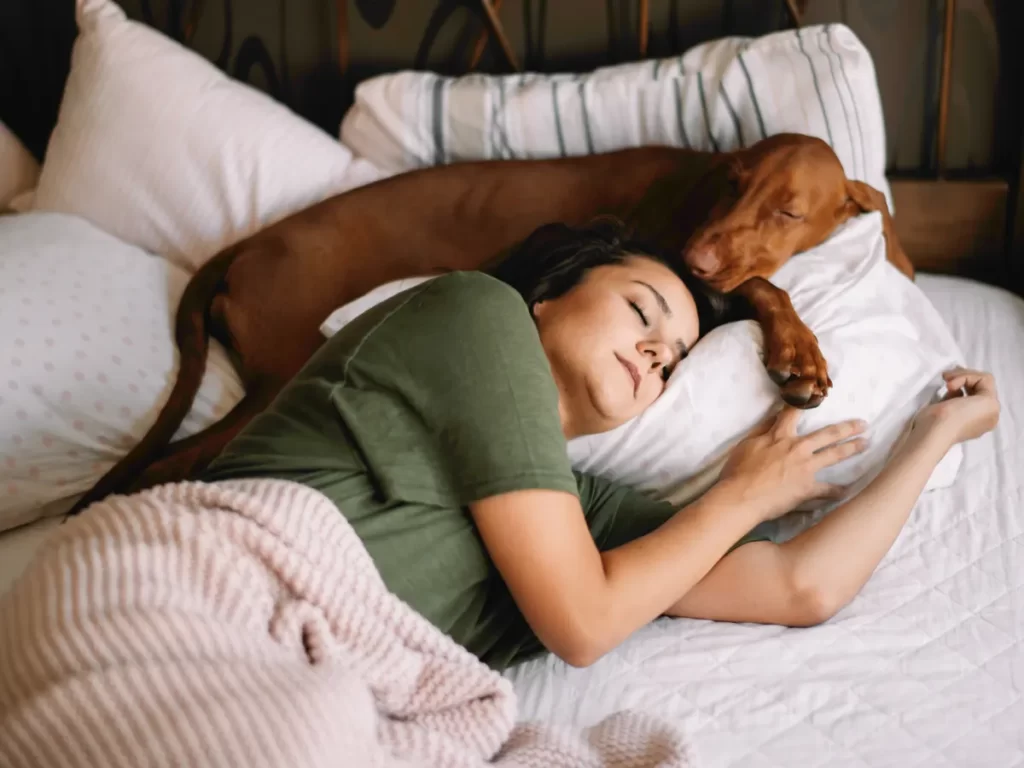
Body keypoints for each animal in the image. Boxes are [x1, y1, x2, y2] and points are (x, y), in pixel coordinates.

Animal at [70, 134, 913, 514]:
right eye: (733, 183)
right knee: (172, 461)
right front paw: (800, 351)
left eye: (788, 211)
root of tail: (251, 242)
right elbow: (765, 284)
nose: (700, 256)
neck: (694, 186)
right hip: (278, 377)